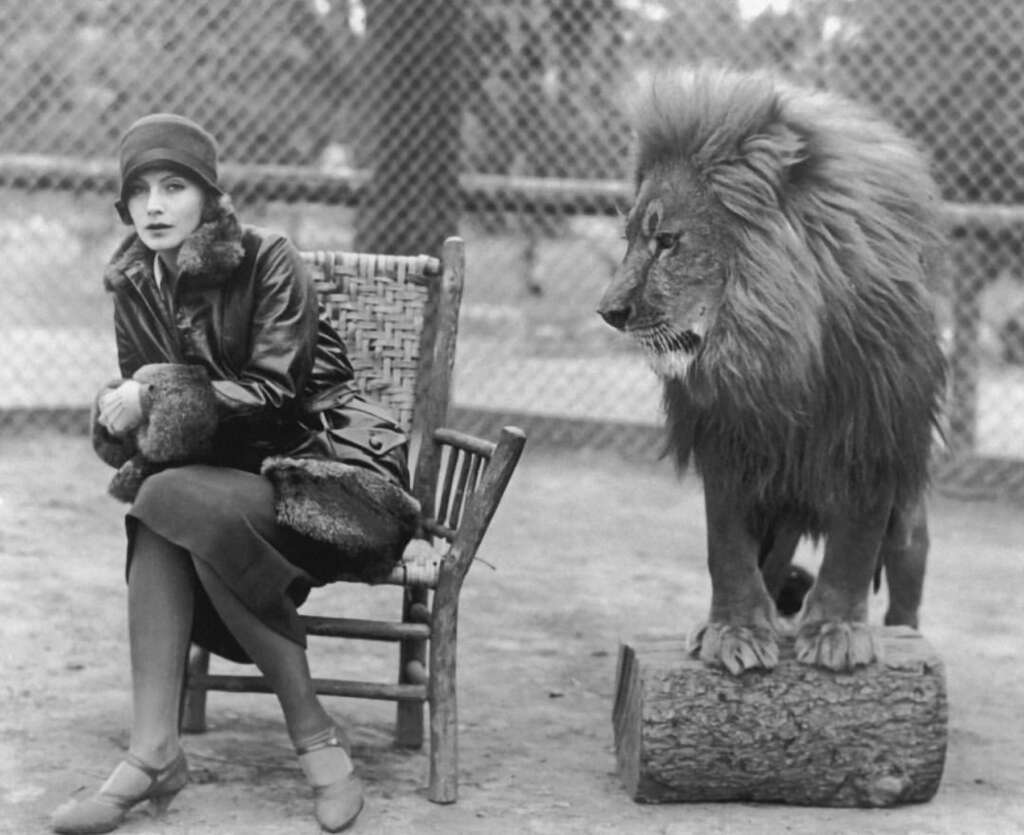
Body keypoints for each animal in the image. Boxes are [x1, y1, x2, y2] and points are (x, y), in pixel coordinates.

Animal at [598, 68, 942, 676]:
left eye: (668, 242)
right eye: (632, 239)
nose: (609, 311)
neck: (776, 352)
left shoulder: (872, 438)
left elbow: (854, 549)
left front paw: (836, 633)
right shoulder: (729, 440)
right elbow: (728, 550)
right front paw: (733, 633)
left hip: (908, 522)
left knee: (905, 580)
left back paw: (902, 634)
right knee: (772, 561)